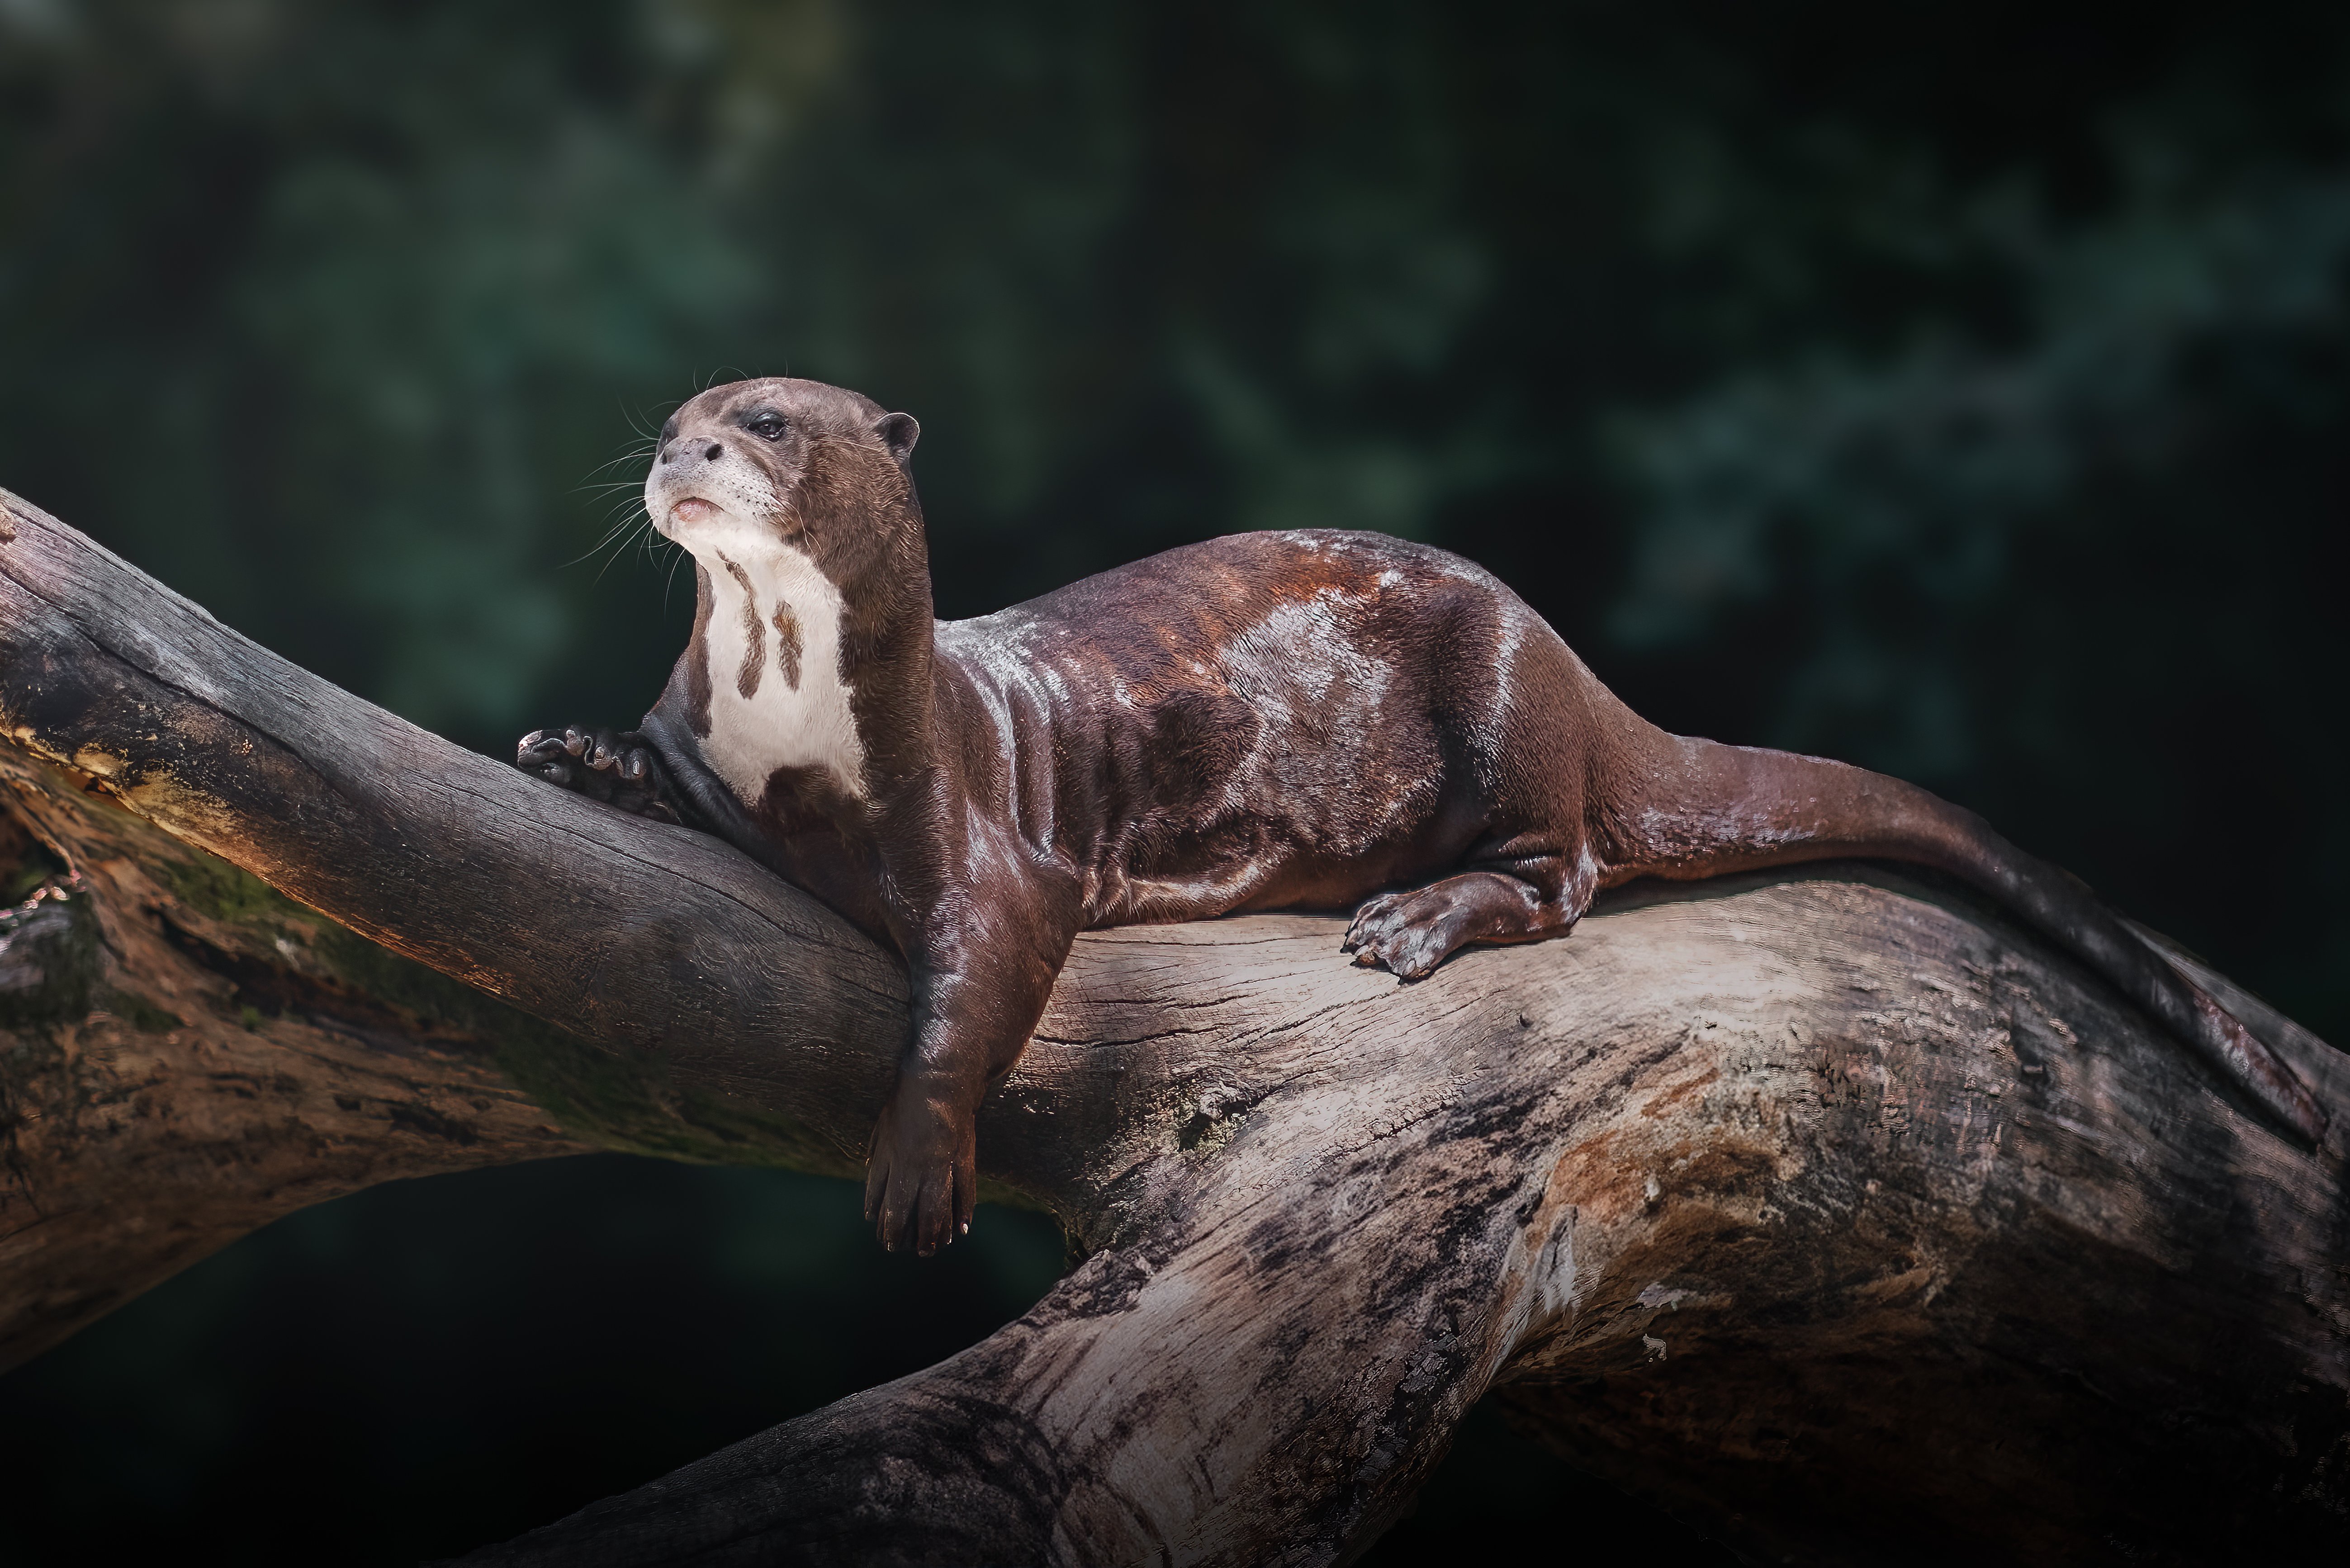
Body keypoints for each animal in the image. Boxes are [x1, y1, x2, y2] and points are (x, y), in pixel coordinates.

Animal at [519, 376, 2324, 1255]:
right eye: (678, 415)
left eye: (762, 421)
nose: (679, 450)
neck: (789, 724)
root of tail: (1577, 661)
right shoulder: (708, 745)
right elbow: (653, 767)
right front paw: (569, 751)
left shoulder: (979, 833)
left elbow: (969, 986)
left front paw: (916, 1168)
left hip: (1505, 706)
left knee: (1569, 871)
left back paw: (1408, 921)